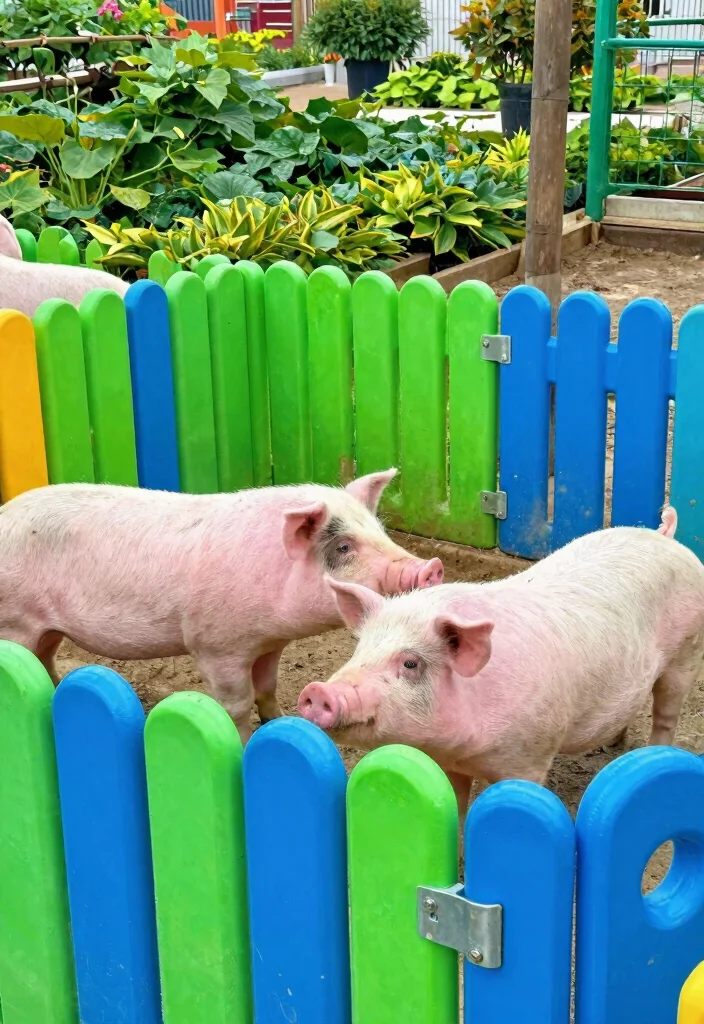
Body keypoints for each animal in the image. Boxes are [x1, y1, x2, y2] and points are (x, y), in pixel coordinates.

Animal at [0, 472, 442, 741]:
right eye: (345, 547)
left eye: (381, 532)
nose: (431, 567)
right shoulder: (216, 646)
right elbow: (237, 703)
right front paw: (245, 742)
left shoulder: (270, 643)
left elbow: (267, 687)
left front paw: (280, 720)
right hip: (16, 620)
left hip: (48, 627)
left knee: (45, 658)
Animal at [299, 507, 704, 811]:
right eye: (360, 649)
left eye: (411, 663)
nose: (318, 691)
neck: (463, 750)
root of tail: (664, 536)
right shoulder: (448, 763)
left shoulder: (530, 755)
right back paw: (610, 746)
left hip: (686, 652)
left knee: (666, 711)